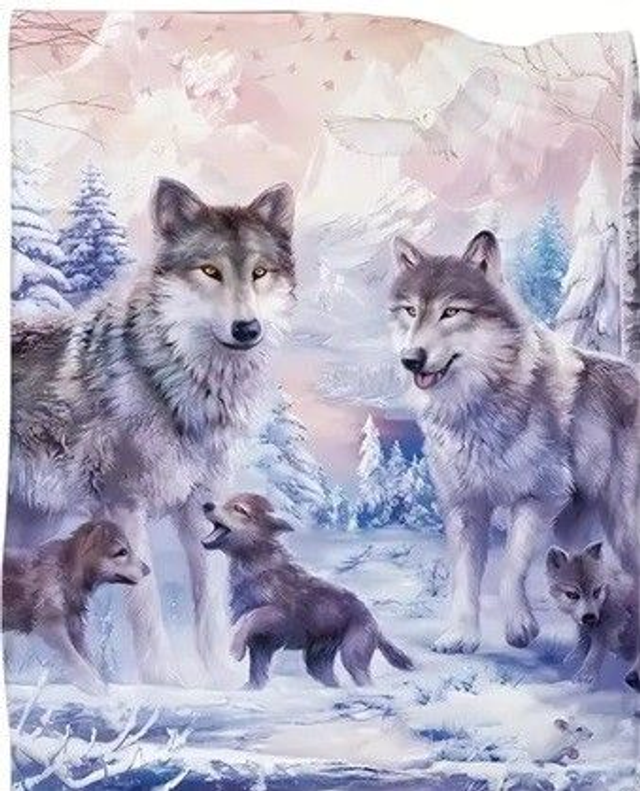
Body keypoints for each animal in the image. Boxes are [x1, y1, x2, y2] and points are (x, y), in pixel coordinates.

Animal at [3, 519, 149, 695]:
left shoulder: (75, 626)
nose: (147, 570)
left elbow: (86, 659)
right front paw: (93, 686)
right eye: (122, 552)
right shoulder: (50, 626)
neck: (65, 571)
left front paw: (99, 683)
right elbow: (75, 659)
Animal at [9, 178, 296, 683]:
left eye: (259, 272)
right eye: (210, 271)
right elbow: (146, 604)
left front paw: (219, 675)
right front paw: (164, 679)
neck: (188, 390)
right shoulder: (123, 504)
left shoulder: (203, 504)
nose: (247, 328)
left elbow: (211, 601)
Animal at [201, 493, 414, 689]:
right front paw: (250, 689)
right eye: (225, 501)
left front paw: (235, 650)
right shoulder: (261, 646)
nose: (206, 504)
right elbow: (257, 674)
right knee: (331, 680)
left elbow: (250, 618)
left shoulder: (278, 617)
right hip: (317, 662)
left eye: (239, 509)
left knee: (364, 680)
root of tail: (373, 620)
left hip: (352, 657)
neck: (256, 569)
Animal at [546, 541, 637, 686]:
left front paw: (584, 677)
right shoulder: (584, 626)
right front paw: (573, 660)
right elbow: (582, 641)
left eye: (596, 591)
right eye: (572, 595)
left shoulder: (606, 629)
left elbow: (594, 654)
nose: (590, 617)